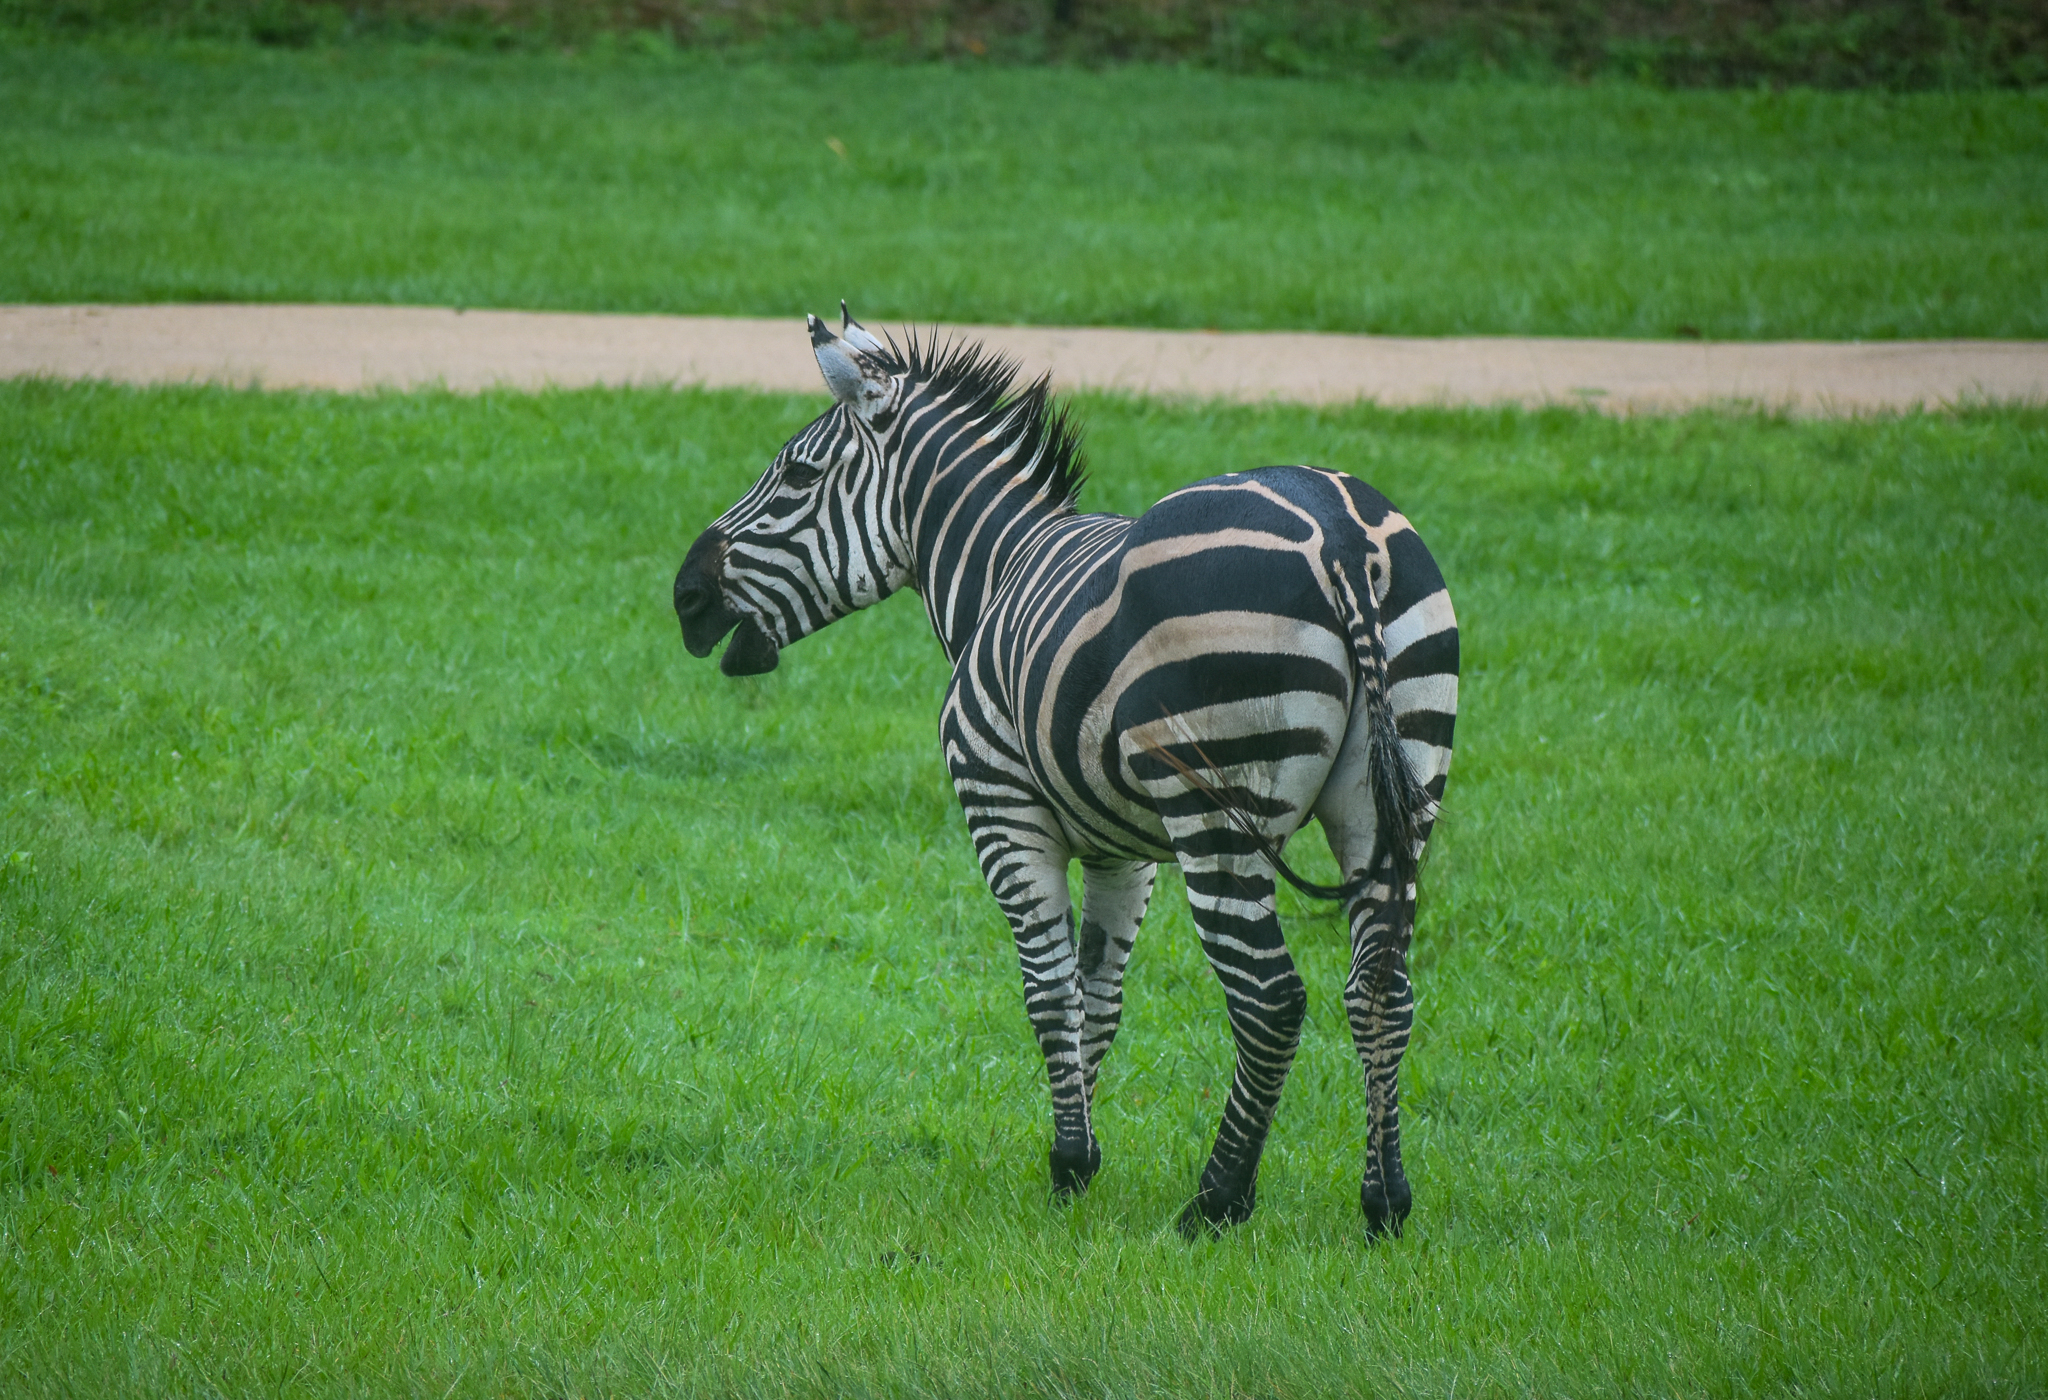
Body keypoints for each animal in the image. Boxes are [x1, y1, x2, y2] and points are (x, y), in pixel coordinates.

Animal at [674, 307, 1459, 1237]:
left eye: (796, 475)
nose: (684, 597)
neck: (997, 569)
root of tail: (1340, 538)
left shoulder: (1003, 809)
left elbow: (1050, 993)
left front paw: (1069, 1163)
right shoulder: (1125, 852)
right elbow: (1099, 997)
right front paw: (1080, 1157)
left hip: (1217, 817)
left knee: (1270, 997)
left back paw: (1217, 1201)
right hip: (1395, 798)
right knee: (1382, 987)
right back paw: (1385, 1203)